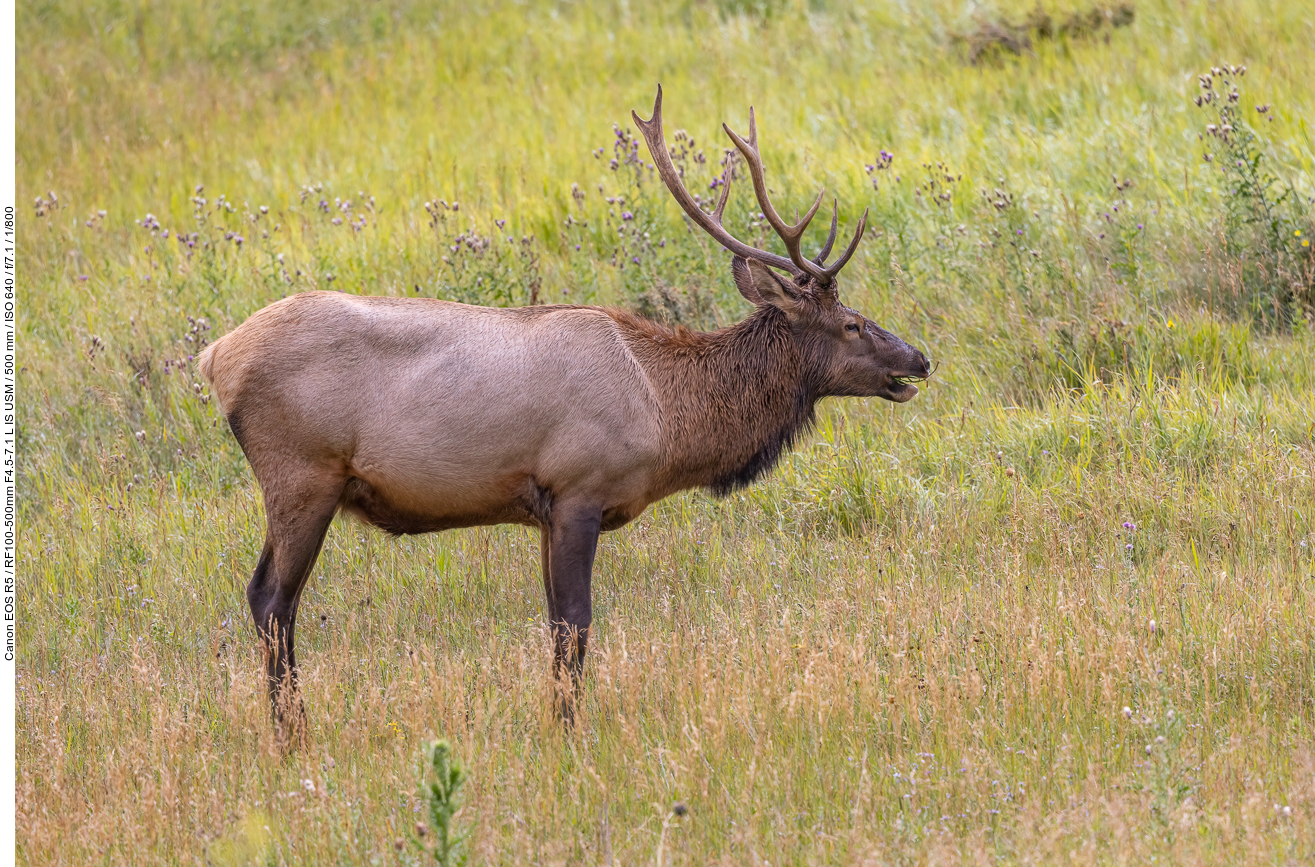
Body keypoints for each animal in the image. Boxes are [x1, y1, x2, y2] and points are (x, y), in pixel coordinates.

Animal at [197, 86, 936, 742]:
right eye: (851, 324)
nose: (920, 359)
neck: (666, 410)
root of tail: (214, 357)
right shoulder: (579, 487)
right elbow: (576, 623)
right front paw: (568, 732)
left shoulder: (543, 509)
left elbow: (554, 623)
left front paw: (554, 720)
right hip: (302, 475)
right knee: (272, 601)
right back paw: (292, 733)